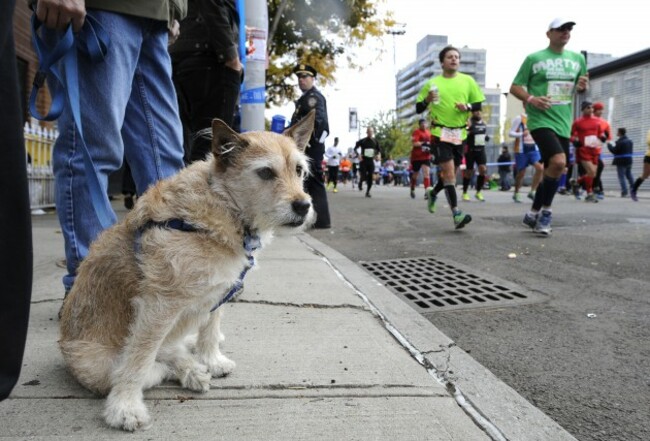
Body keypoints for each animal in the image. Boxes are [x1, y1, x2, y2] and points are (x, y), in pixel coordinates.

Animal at [58, 111, 316, 430]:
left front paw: (212, 359)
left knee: (171, 350)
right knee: (151, 365)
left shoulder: (219, 289)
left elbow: (210, 328)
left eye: (299, 170)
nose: (303, 206)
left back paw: (193, 367)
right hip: (96, 367)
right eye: (266, 173)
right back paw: (185, 371)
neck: (224, 207)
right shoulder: (159, 306)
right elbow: (139, 359)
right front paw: (125, 407)